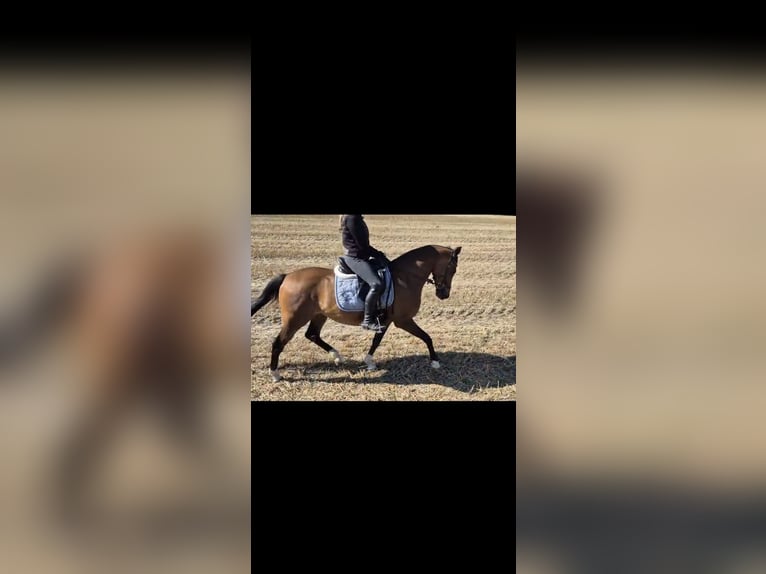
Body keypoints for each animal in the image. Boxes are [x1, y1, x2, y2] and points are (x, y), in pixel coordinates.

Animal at [251, 244, 462, 381]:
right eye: (453, 268)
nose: (444, 294)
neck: (405, 277)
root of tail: (287, 276)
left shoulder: (386, 320)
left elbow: (376, 340)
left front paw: (369, 361)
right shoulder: (403, 320)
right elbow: (426, 337)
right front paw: (435, 361)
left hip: (319, 315)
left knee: (312, 334)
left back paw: (337, 356)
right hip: (295, 319)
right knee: (278, 343)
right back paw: (275, 374)